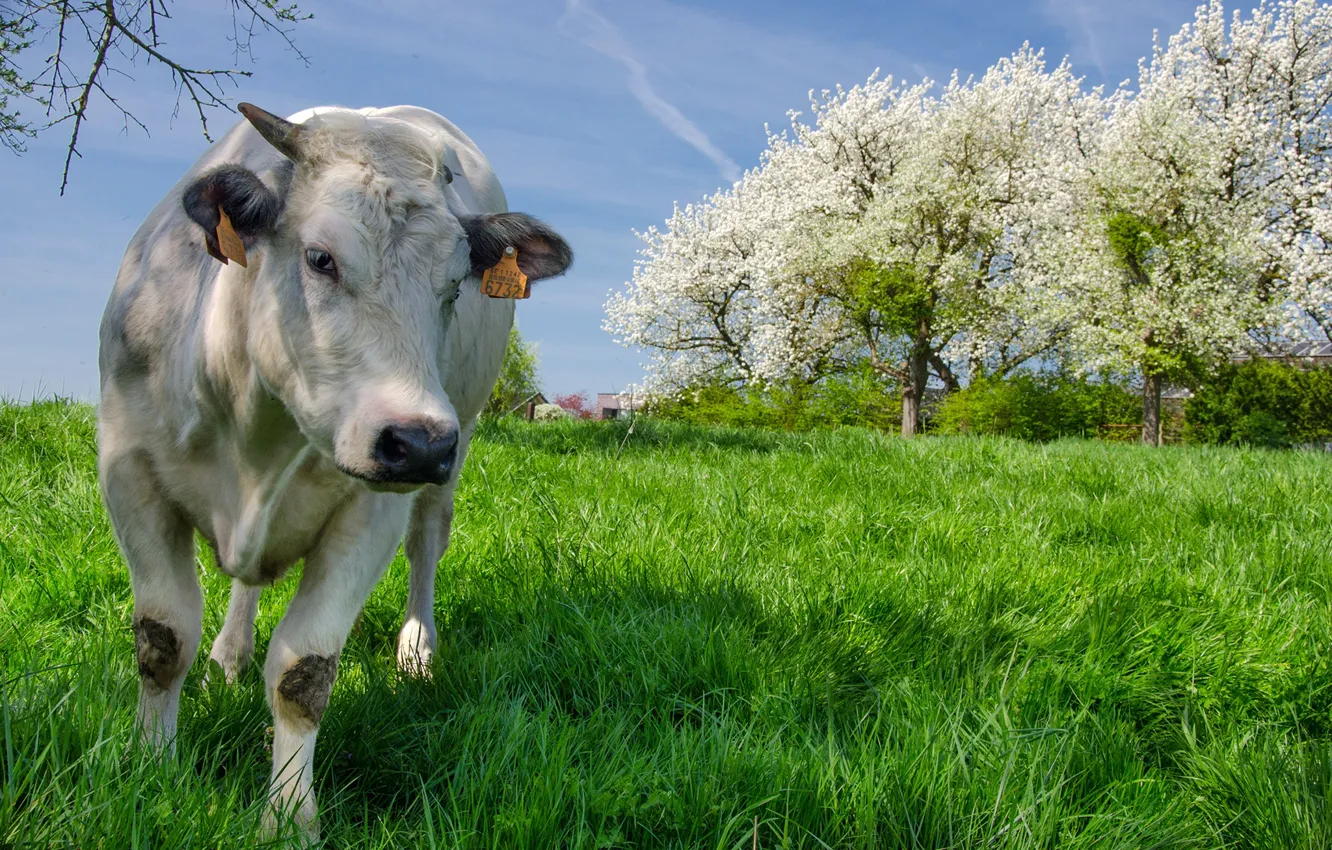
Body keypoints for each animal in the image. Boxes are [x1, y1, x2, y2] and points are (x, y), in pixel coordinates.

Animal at [96, 102, 571, 837]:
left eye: (453, 286)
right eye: (320, 259)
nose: (419, 442)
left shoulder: (371, 511)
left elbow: (303, 673)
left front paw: (290, 816)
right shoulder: (127, 469)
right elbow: (163, 639)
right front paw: (149, 766)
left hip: (450, 455)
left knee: (426, 545)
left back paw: (416, 652)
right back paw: (228, 657)